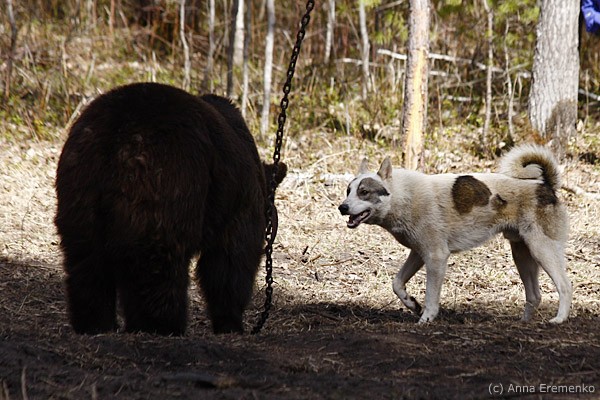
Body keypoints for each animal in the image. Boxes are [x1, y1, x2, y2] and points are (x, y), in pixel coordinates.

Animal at [54, 82, 287, 335]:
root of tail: (115, 138)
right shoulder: (239, 202)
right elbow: (230, 259)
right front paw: (231, 321)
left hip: (79, 186)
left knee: (86, 258)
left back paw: (95, 322)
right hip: (167, 181)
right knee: (158, 260)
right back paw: (161, 324)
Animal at [339, 144, 571, 324]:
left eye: (364, 192)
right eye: (348, 192)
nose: (342, 207)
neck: (403, 196)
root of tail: (545, 185)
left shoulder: (436, 257)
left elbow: (431, 297)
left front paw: (426, 318)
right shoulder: (419, 254)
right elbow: (397, 284)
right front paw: (412, 304)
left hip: (542, 250)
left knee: (564, 286)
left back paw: (560, 319)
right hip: (523, 256)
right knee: (535, 295)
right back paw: (524, 322)